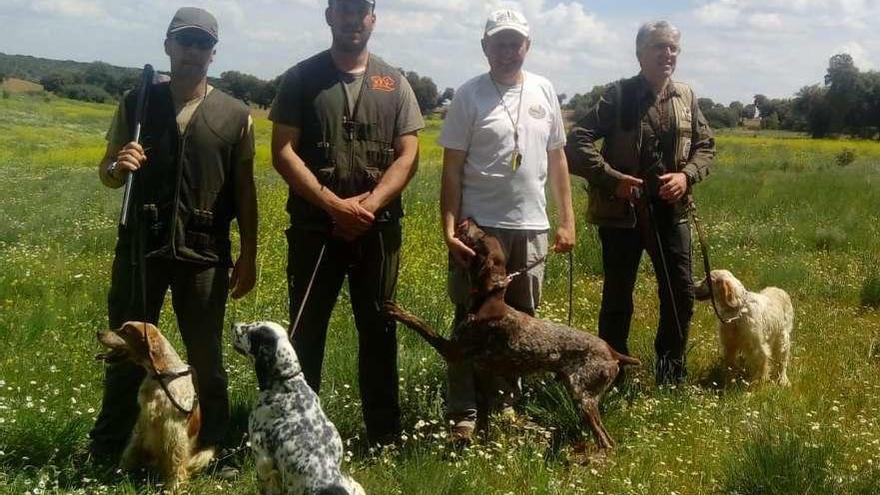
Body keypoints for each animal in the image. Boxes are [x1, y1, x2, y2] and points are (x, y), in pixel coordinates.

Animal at [96, 324, 215, 490]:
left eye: (126, 331)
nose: (98, 332)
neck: (161, 375)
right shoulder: (142, 422)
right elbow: (131, 450)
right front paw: (120, 472)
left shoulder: (174, 428)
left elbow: (175, 460)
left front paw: (173, 486)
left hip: (205, 453)